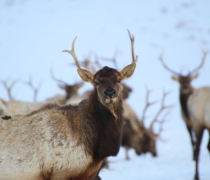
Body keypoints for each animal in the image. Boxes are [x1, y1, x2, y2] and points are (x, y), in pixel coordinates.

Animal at [160, 48, 209, 180]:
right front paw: (193, 158)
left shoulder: (194, 121)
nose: (186, 88)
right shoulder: (187, 122)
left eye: (190, 80)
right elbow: (192, 141)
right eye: (180, 81)